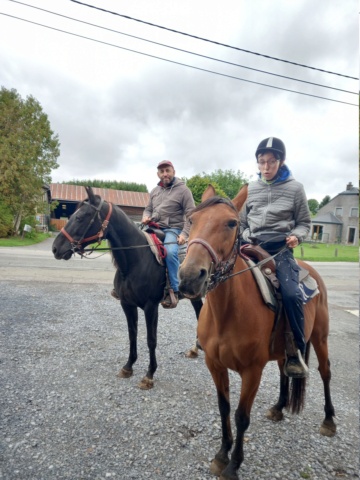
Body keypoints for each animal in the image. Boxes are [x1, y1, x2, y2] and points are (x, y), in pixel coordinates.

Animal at [51, 187, 202, 390]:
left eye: (81, 217)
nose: (56, 248)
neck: (136, 260)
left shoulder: (151, 307)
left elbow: (151, 340)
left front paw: (149, 375)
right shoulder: (126, 304)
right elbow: (132, 335)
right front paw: (128, 367)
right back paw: (195, 349)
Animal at [179, 185, 336, 480]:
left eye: (231, 223)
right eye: (192, 220)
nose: (190, 277)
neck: (227, 313)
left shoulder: (252, 371)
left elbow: (241, 416)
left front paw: (233, 465)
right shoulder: (214, 364)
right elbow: (224, 408)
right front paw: (221, 455)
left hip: (320, 338)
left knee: (325, 373)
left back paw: (329, 420)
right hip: (284, 350)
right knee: (285, 370)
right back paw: (279, 407)